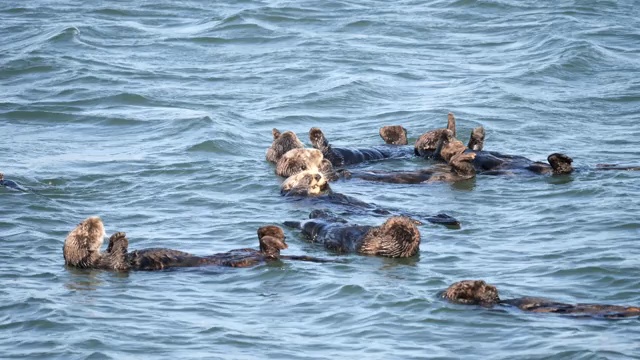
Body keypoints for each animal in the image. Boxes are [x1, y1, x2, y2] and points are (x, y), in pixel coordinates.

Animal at [280, 170, 460, 226]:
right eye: (305, 175)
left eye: (316, 171)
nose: (317, 176)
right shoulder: (295, 195)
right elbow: (298, 191)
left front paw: (325, 184)